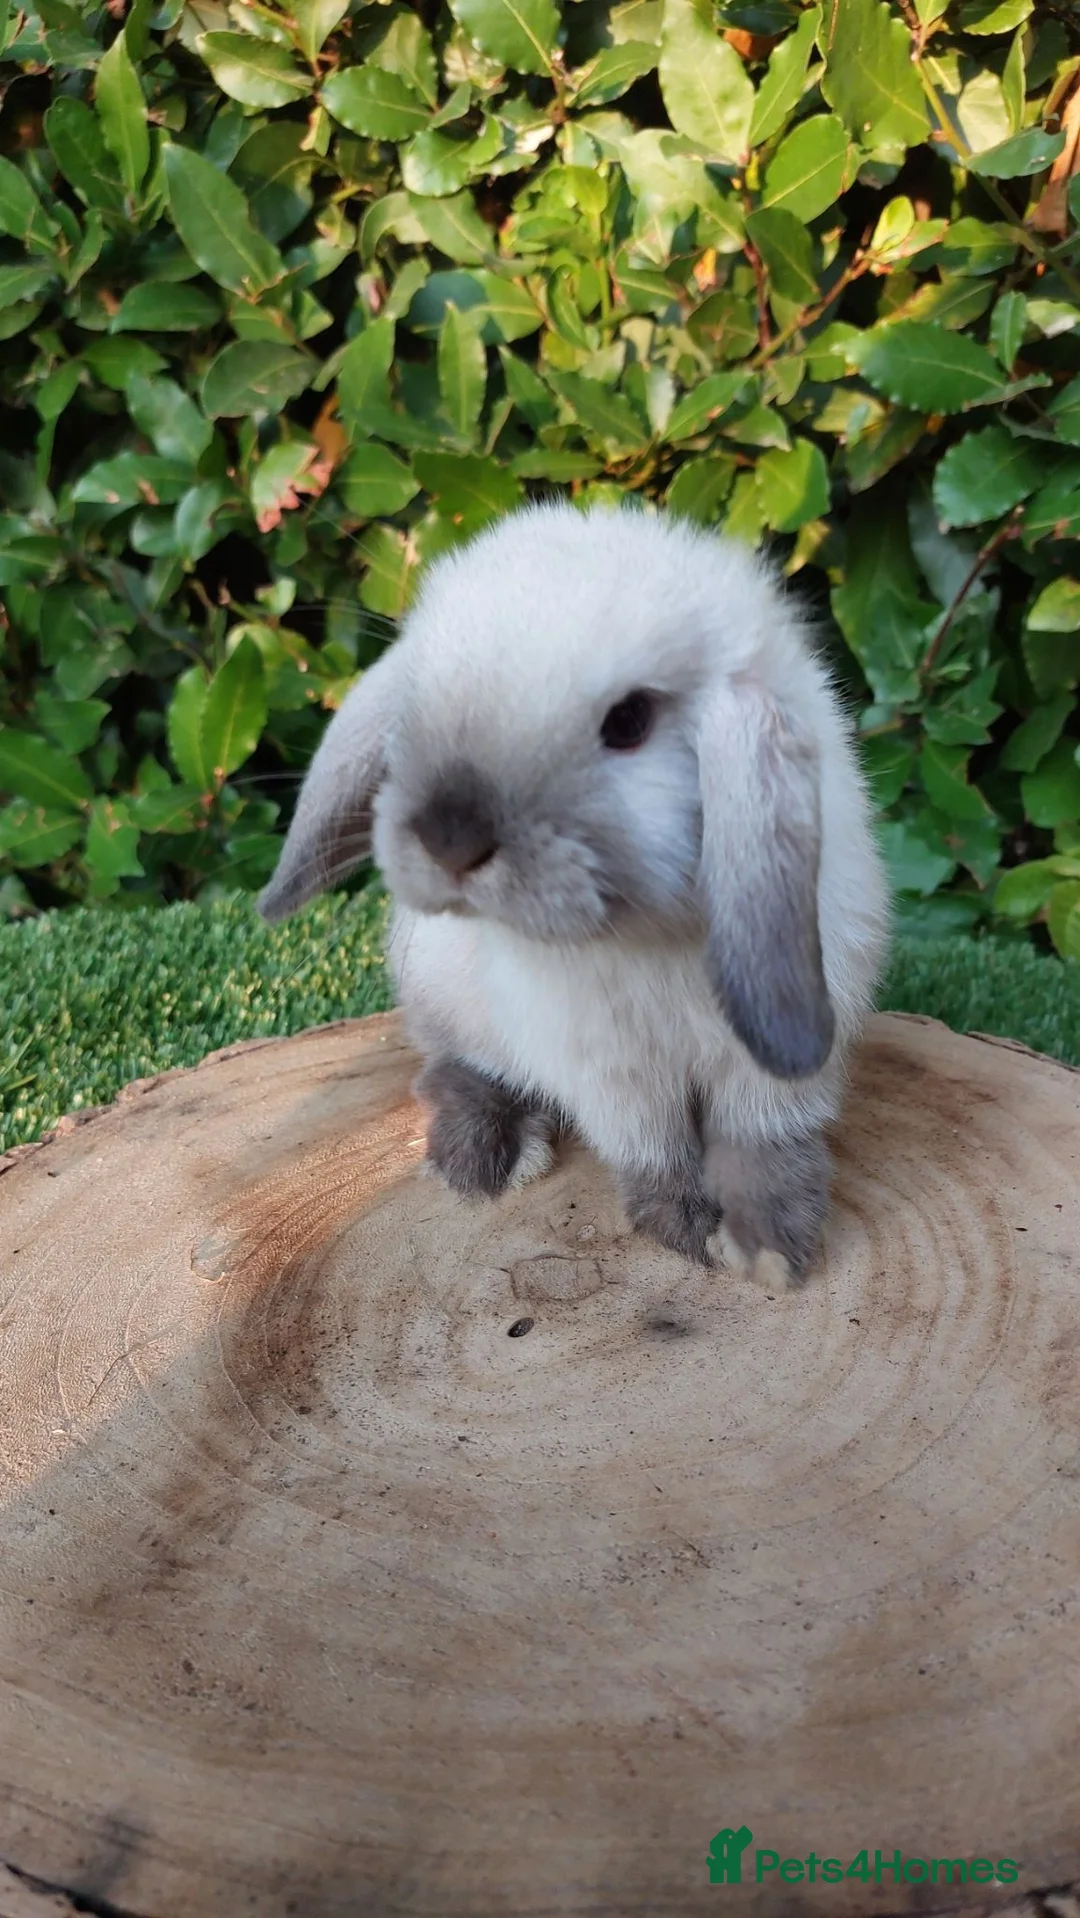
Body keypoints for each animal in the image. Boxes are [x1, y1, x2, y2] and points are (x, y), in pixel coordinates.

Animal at [258, 501, 890, 1283]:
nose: (448, 838)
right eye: (418, 701)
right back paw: (484, 1158)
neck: (649, 934)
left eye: (630, 721)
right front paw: (686, 1224)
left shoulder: (775, 1062)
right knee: (451, 1066)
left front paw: (771, 1245)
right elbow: (656, 1148)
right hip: (445, 998)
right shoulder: (611, 1074)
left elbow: (763, 1142)